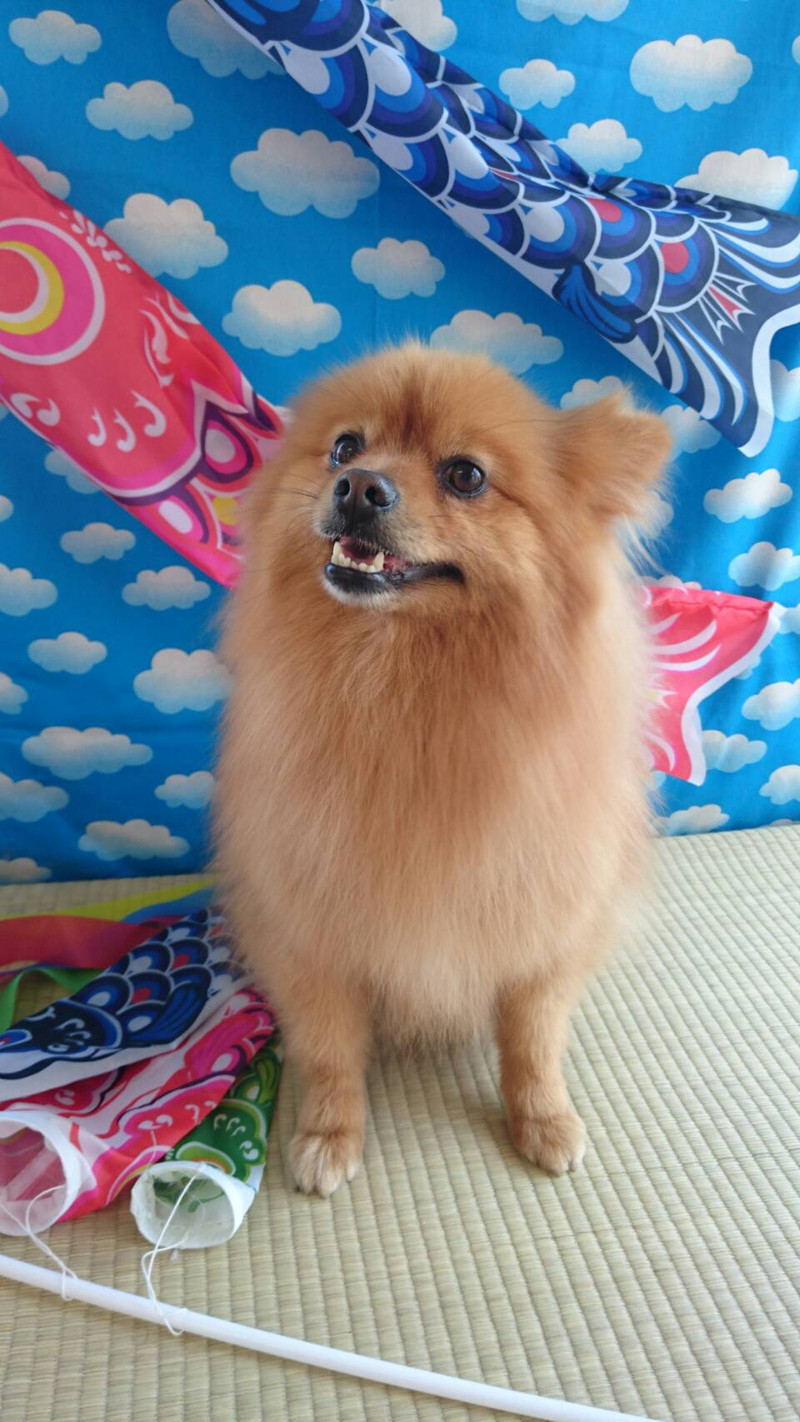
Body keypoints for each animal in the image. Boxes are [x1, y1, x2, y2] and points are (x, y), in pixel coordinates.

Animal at [215, 342, 670, 1196]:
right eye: (344, 447)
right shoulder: (308, 924)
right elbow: (328, 1047)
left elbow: (533, 1039)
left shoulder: (545, 920)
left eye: (465, 475)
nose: (358, 487)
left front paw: (543, 1119)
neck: (400, 688)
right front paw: (327, 1133)